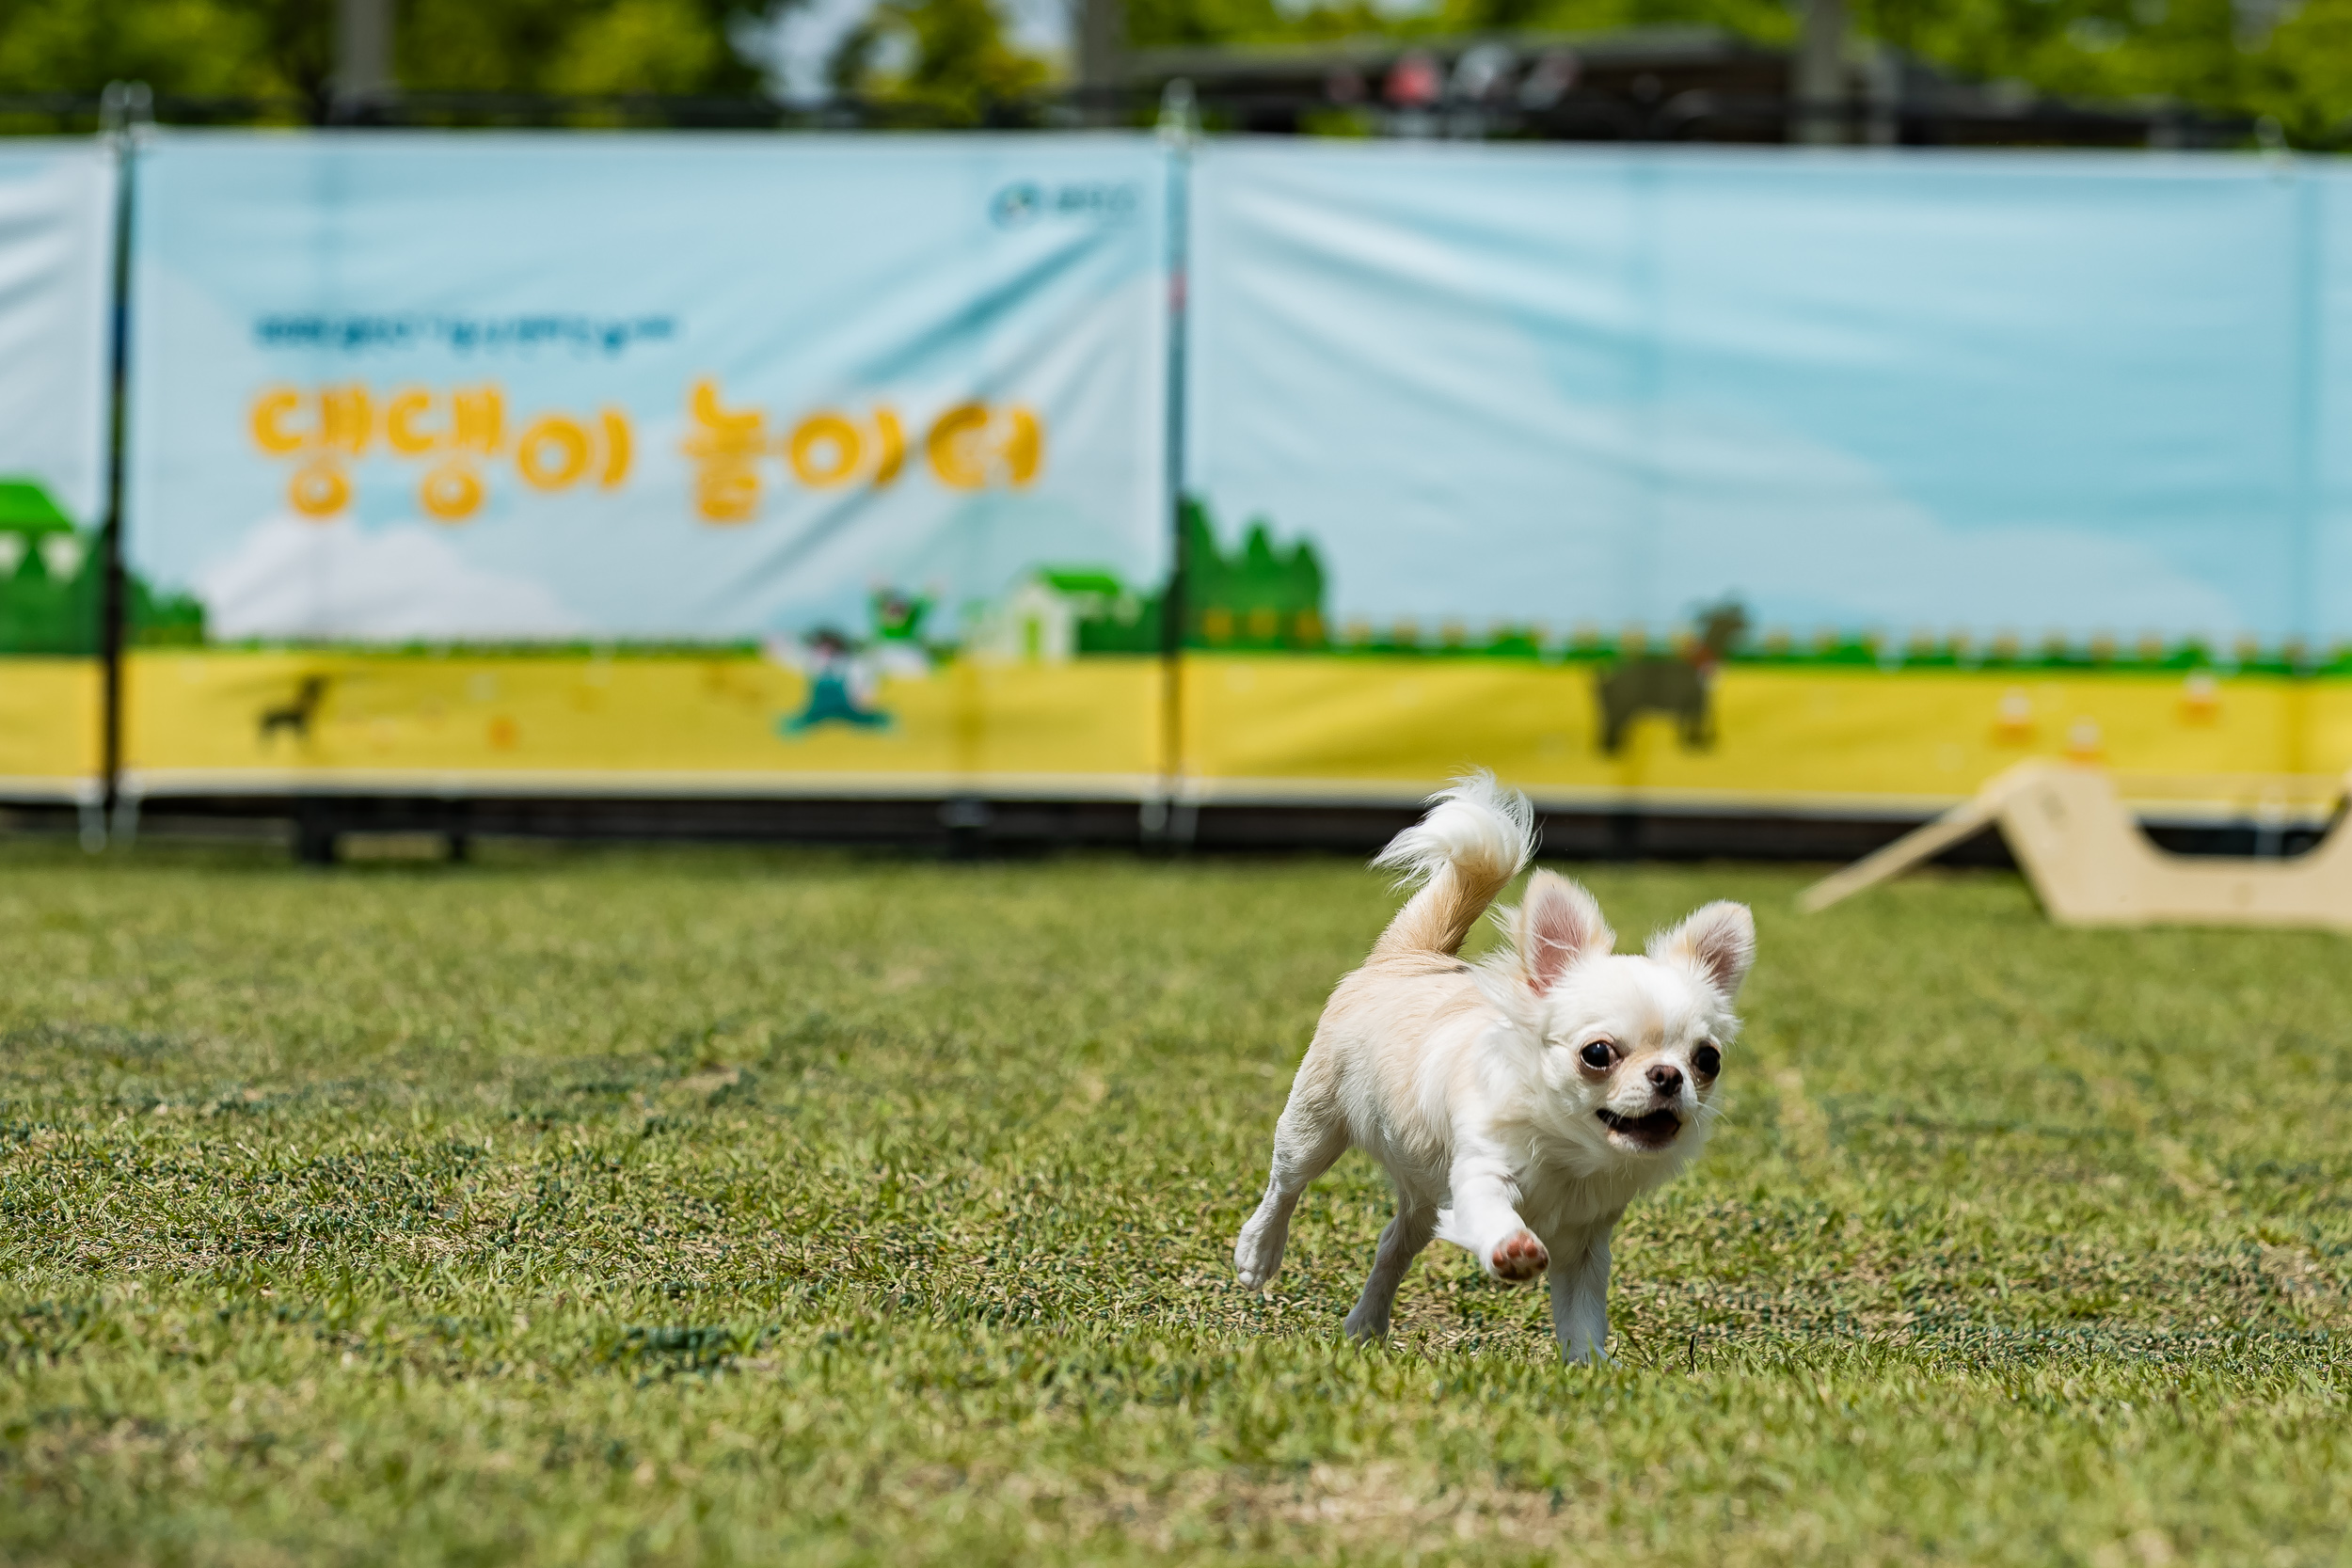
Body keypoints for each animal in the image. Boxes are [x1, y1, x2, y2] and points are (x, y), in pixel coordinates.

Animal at [1232, 770, 1750, 1363]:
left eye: (1707, 1059)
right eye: (1597, 1054)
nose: (1668, 1075)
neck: (1568, 1152)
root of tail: (1412, 955)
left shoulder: (1585, 1248)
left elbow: (1583, 1321)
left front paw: (1592, 1373)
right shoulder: (1480, 1174)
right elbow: (1495, 1213)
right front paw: (1513, 1247)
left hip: (1425, 1195)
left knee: (1393, 1244)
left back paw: (1366, 1325)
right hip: (1314, 1126)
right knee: (1285, 1183)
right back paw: (1259, 1253)